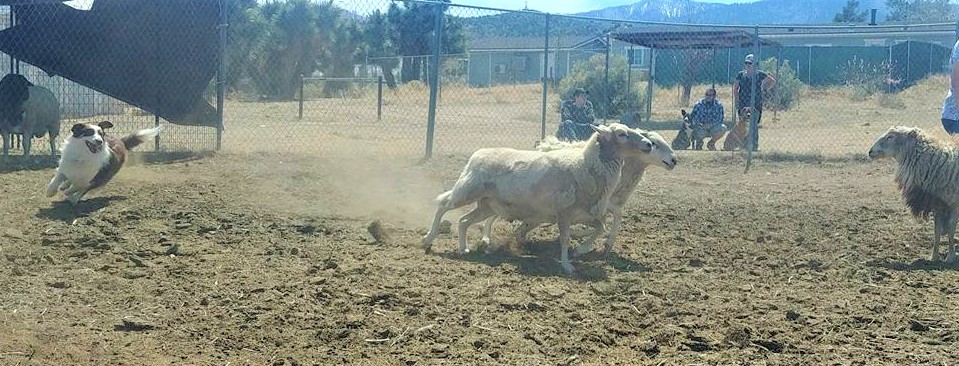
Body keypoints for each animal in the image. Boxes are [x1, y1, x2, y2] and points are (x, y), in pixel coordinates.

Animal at [424, 123, 656, 274]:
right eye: (622, 134)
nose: (649, 144)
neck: (585, 166)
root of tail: (476, 155)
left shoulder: (583, 213)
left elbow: (600, 228)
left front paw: (581, 250)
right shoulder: (563, 212)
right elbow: (565, 238)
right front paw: (567, 265)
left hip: (487, 205)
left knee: (464, 221)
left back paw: (463, 248)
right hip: (468, 191)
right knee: (443, 205)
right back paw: (428, 239)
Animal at [484, 129, 680, 258]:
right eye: (654, 143)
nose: (674, 160)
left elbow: (607, 220)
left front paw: (593, 239)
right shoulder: (604, 201)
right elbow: (613, 216)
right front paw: (589, 241)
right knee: (491, 213)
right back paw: (486, 237)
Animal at [872, 126, 959, 264]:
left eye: (890, 137)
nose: (870, 152)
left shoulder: (954, 204)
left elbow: (950, 229)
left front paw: (950, 257)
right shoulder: (937, 202)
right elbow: (937, 230)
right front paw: (934, 257)